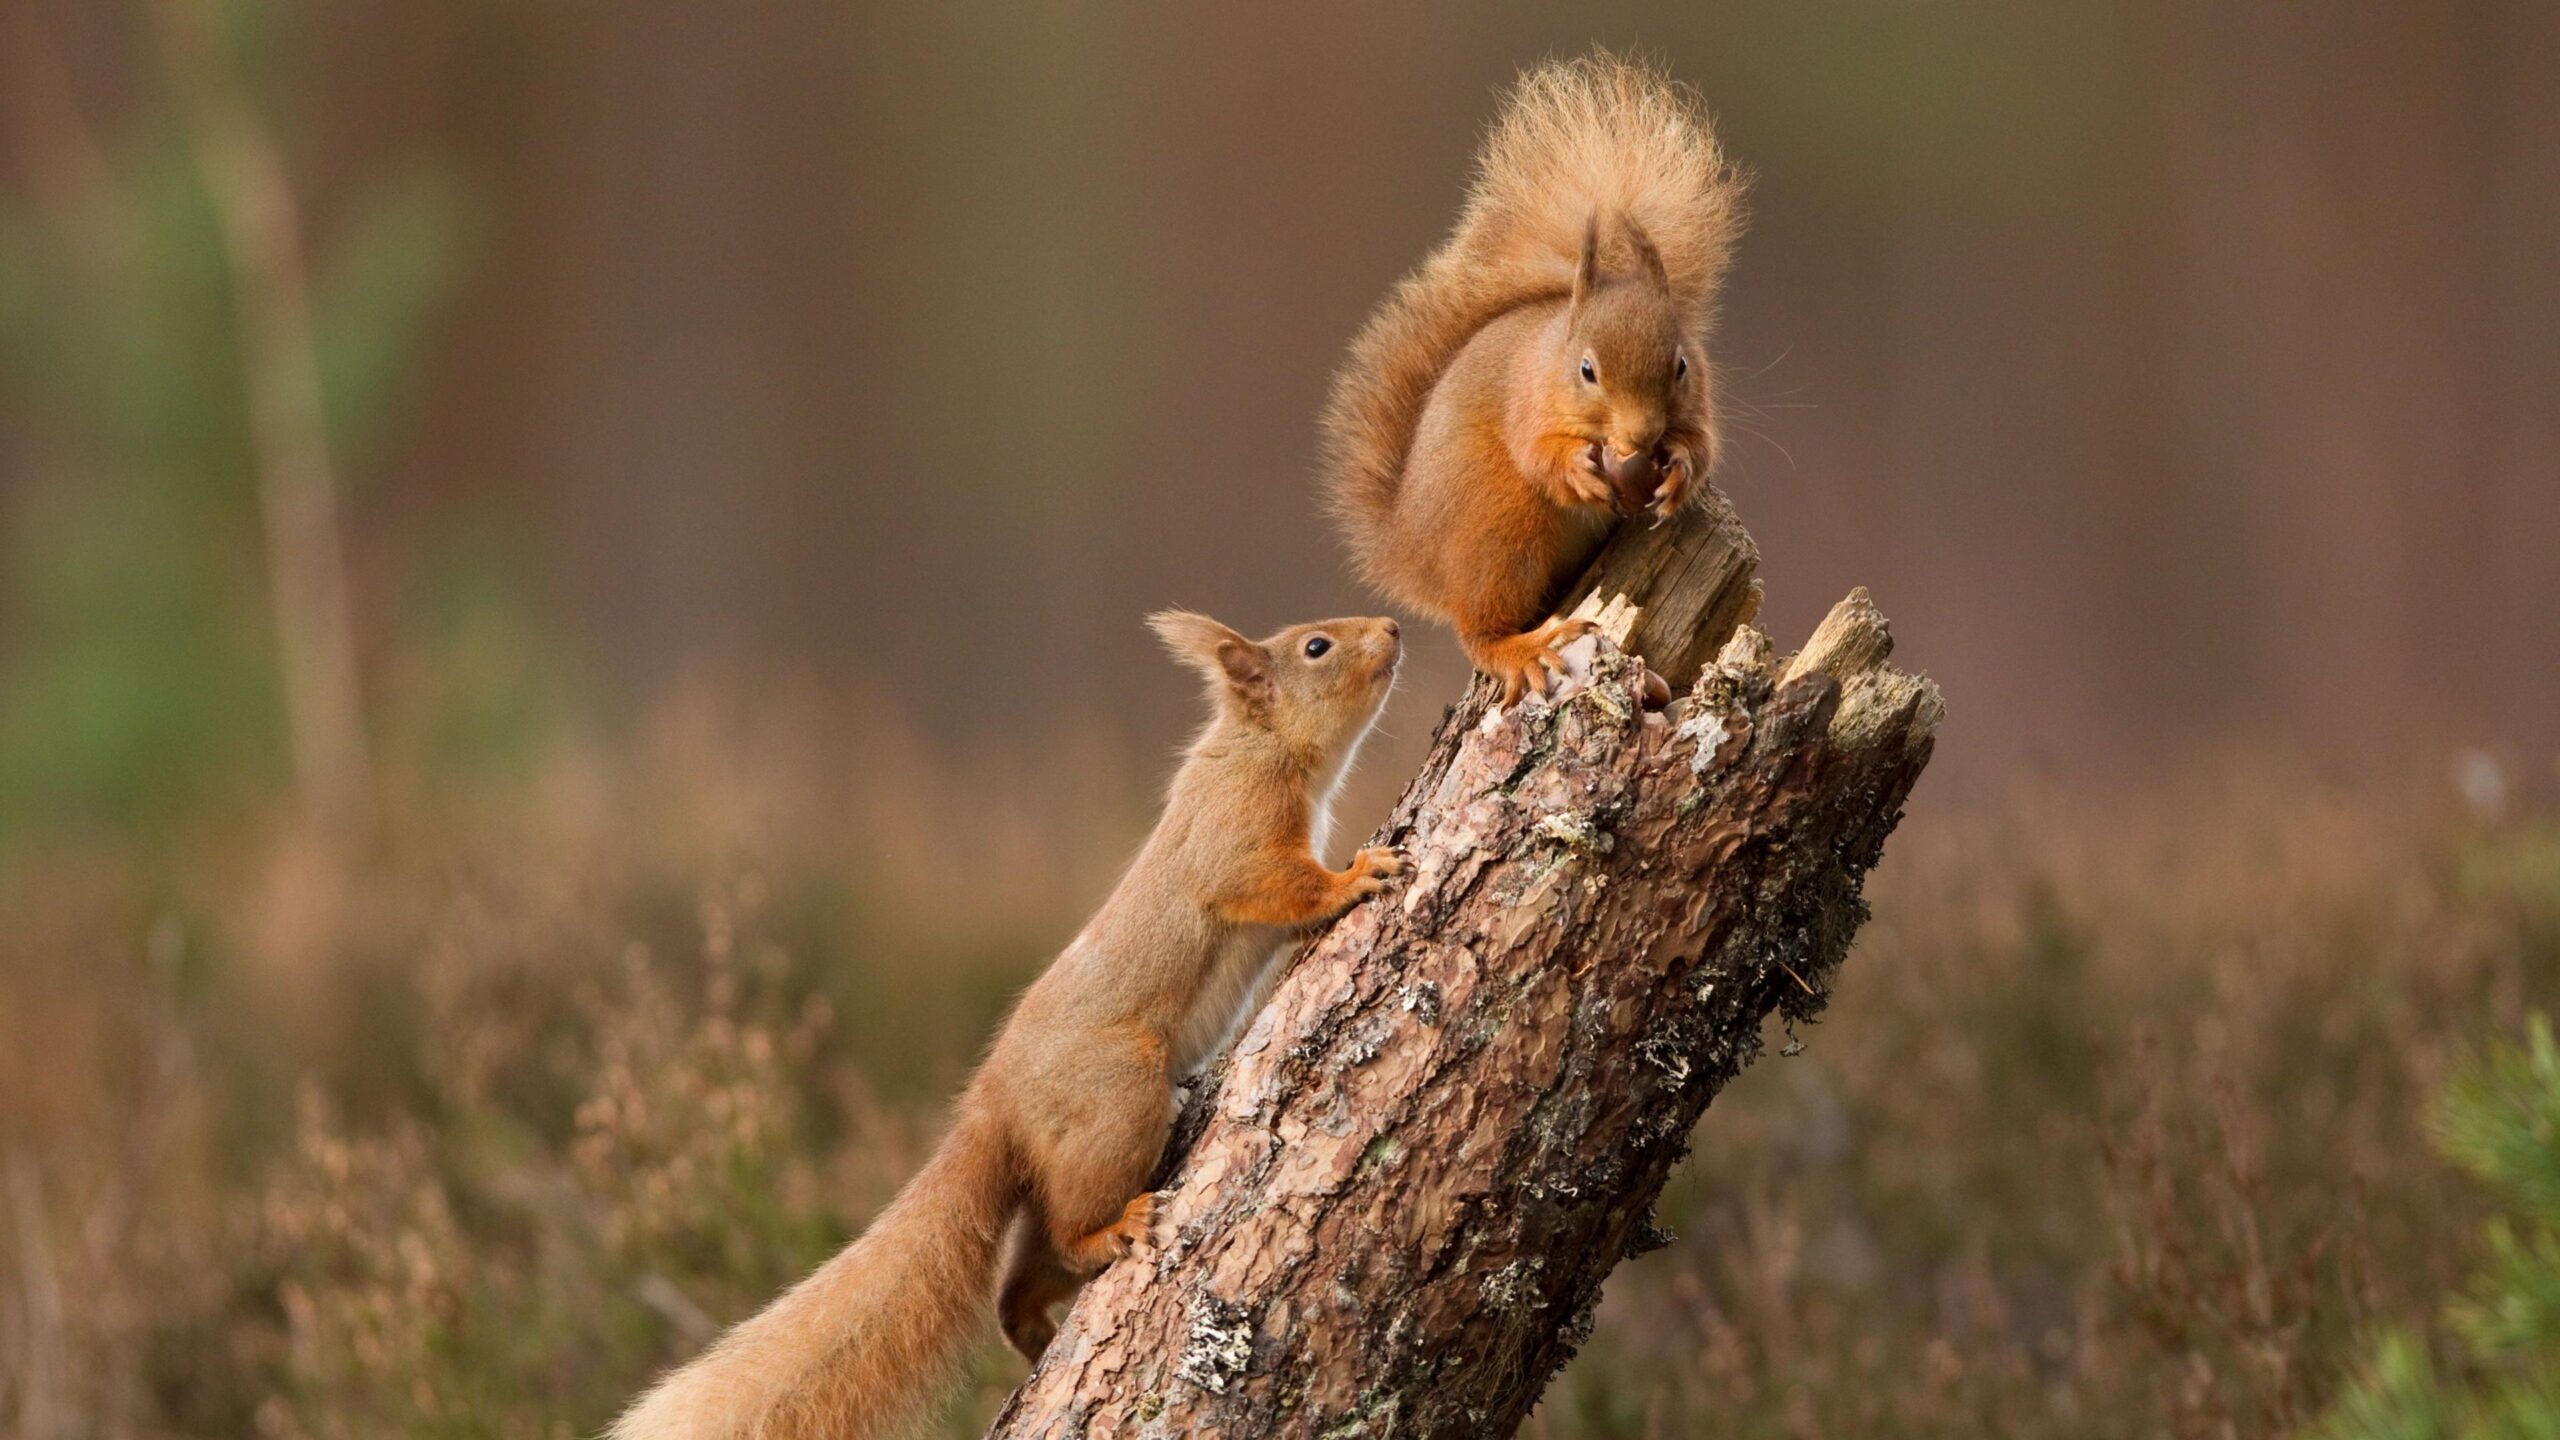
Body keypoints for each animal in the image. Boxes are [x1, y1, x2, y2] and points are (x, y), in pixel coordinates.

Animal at [609, 611, 1404, 1440]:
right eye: (1316, 646)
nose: (1391, 626)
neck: (1260, 747)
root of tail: (997, 1105)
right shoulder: (1236, 838)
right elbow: (1278, 885)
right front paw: (1358, 876)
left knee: (1021, 1280)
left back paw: (1036, 1328)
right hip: (1118, 1103)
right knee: (1068, 1232)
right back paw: (1111, 1233)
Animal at [1321, 53, 1747, 707]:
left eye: (1680, 365)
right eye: (1587, 370)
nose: (1640, 438)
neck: (1551, 352)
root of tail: (1416, 553)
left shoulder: (1696, 405)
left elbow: (1701, 446)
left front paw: (1677, 474)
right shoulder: (1525, 401)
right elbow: (1537, 452)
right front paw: (1578, 472)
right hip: (1502, 528)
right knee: (1479, 630)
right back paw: (1521, 647)